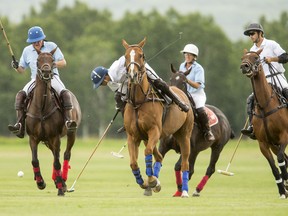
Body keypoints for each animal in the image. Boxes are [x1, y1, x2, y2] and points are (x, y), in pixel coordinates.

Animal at [25, 48, 81, 197]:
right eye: (38, 60)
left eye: (52, 60)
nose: (46, 72)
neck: (42, 107)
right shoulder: (33, 137)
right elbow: (34, 160)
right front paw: (40, 182)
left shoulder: (55, 137)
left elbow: (57, 163)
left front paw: (61, 188)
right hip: (48, 140)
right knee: (56, 154)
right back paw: (57, 179)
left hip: (71, 132)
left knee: (65, 154)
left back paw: (63, 180)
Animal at [122, 37, 195, 197]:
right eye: (125, 56)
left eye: (141, 55)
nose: (133, 76)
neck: (138, 101)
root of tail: (182, 93)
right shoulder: (133, 136)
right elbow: (133, 163)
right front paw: (145, 182)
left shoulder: (154, 130)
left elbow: (148, 152)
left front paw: (151, 181)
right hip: (152, 137)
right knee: (159, 156)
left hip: (184, 135)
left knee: (185, 163)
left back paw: (184, 191)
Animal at [159, 63, 235, 197]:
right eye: (170, 79)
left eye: (184, 82)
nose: (173, 94)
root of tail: (225, 119)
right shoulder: (164, 146)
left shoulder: (188, 147)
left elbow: (178, 166)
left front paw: (180, 189)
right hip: (197, 150)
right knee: (192, 169)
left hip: (217, 147)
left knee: (210, 168)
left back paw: (197, 190)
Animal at [241, 49, 288, 199]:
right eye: (242, 58)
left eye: (256, 57)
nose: (244, 66)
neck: (264, 105)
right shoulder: (263, 143)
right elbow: (274, 167)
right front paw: (282, 190)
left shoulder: (284, 136)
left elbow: (280, 159)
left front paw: (286, 181)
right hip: (274, 144)